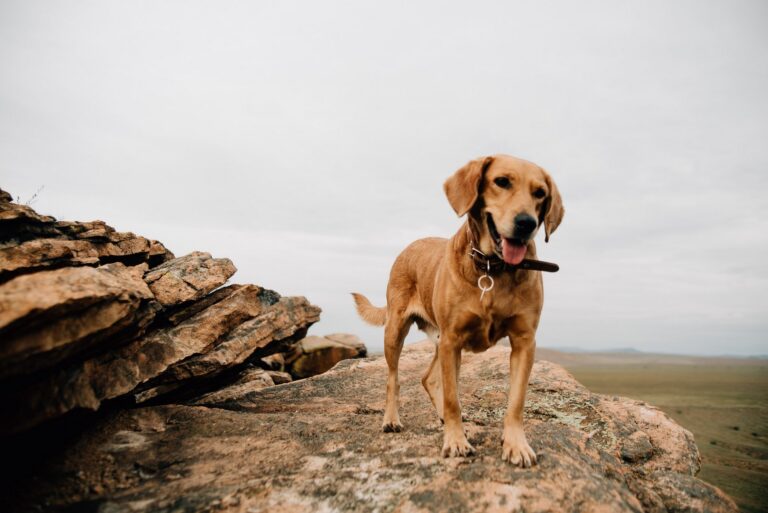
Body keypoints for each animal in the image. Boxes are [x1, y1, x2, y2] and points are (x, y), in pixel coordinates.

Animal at [354, 153, 564, 464]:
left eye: (540, 193)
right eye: (502, 181)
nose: (527, 223)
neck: (491, 268)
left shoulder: (524, 342)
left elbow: (516, 401)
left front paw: (516, 444)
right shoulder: (452, 339)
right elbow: (453, 397)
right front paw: (455, 441)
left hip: (441, 341)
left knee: (428, 378)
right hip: (397, 331)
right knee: (394, 379)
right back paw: (392, 419)